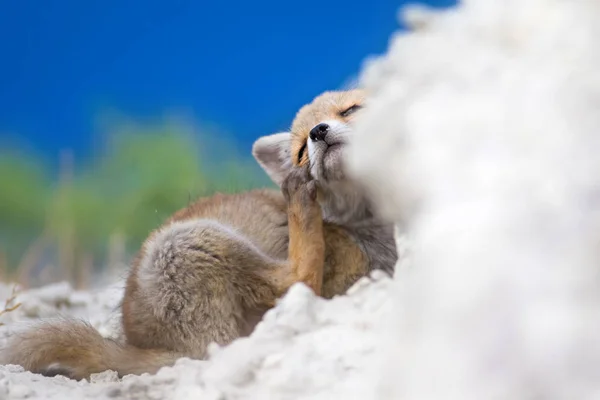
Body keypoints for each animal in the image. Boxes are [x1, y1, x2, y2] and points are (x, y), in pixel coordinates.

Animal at [0, 88, 398, 382]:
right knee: (295, 280)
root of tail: (151, 343)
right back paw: (298, 199)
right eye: (301, 150)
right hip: (193, 242)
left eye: (350, 109)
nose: (318, 132)